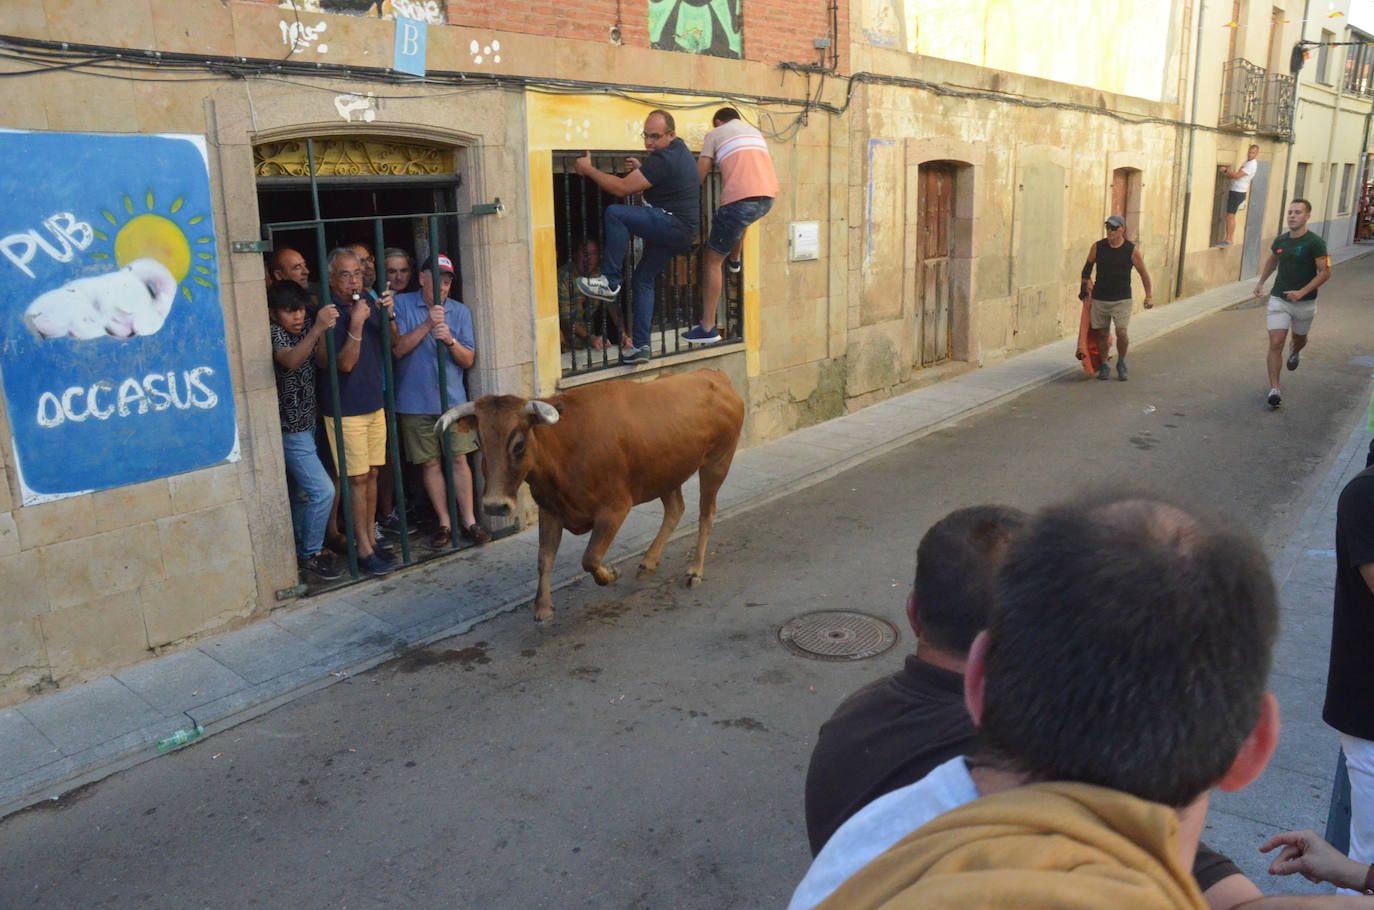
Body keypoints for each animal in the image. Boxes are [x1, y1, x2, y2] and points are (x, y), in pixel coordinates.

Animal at [436, 368, 741, 621]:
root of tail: (715, 375)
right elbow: (544, 558)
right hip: (665, 473)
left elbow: (591, 558)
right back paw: (648, 563)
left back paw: (694, 571)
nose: (494, 506)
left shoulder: (615, 508)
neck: (563, 449)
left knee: (706, 514)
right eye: (478, 442)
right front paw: (543, 607)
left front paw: (611, 574)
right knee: (675, 509)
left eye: (519, 444)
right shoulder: (550, 509)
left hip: (717, 462)